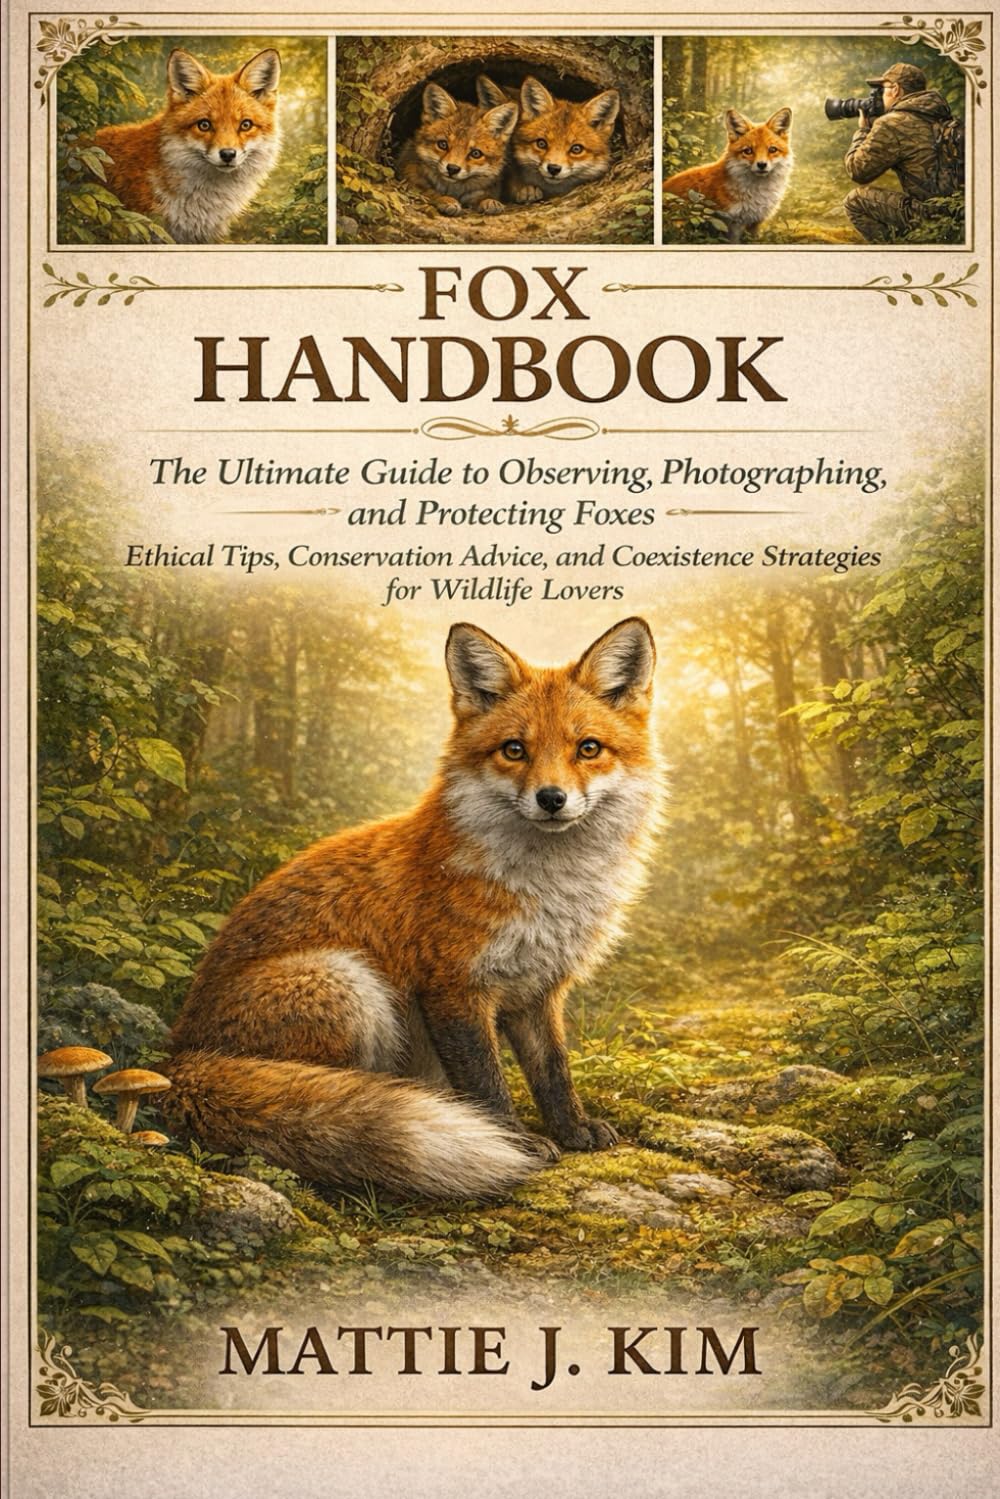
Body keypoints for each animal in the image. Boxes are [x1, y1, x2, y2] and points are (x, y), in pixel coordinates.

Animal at [162, 619, 661, 1199]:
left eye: (588, 748)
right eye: (514, 749)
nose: (552, 798)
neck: (549, 891)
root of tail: (179, 1055)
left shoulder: (538, 991)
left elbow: (553, 1071)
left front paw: (574, 1129)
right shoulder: (453, 987)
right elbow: (486, 1084)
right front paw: (513, 1142)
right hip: (347, 984)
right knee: (310, 1096)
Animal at [396, 76, 517, 216]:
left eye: (476, 153)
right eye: (443, 145)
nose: (452, 169)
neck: (454, 190)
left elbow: (483, 197)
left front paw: (489, 202)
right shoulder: (412, 178)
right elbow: (432, 193)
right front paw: (447, 200)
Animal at [663, 107, 793, 242]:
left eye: (772, 150)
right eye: (748, 151)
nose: (762, 165)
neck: (757, 192)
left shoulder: (754, 222)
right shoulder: (730, 223)